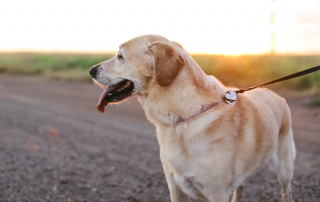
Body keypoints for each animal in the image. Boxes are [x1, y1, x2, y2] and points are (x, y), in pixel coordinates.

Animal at [89, 35, 296, 202]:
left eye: (120, 56)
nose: (91, 70)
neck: (181, 118)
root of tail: (276, 95)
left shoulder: (217, 193)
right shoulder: (176, 188)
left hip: (284, 169)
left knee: (286, 191)